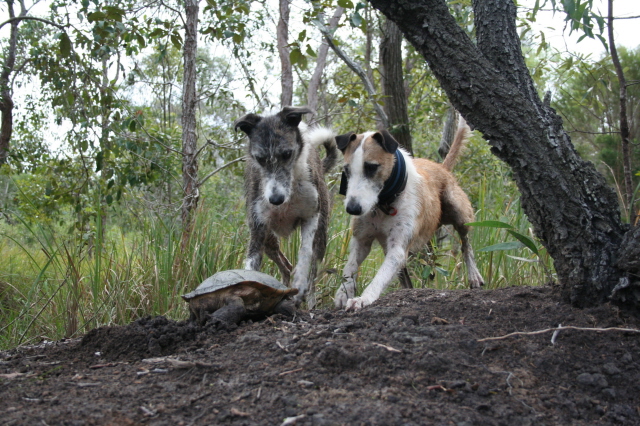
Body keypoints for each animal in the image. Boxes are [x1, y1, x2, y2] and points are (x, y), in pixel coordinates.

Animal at [336, 119, 484, 310]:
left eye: (371, 167)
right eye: (346, 170)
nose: (352, 209)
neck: (385, 203)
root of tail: (441, 168)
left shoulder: (398, 249)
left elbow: (380, 277)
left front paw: (364, 298)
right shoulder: (361, 240)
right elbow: (350, 266)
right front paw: (343, 291)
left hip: (459, 211)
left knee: (466, 245)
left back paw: (473, 274)